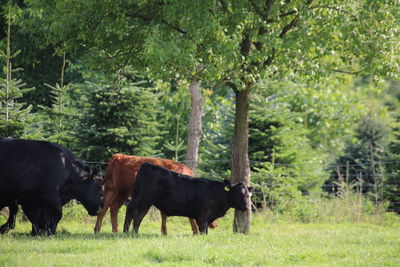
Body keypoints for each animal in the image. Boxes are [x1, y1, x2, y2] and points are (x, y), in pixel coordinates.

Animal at [123, 162, 252, 236]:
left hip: (138, 197)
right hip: (145, 200)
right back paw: (134, 233)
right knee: (138, 215)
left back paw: (125, 232)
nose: (247, 207)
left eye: (248, 195)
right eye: (238, 194)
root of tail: (148, 165)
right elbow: (203, 230)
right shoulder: (203, 214)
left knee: (130, 210)